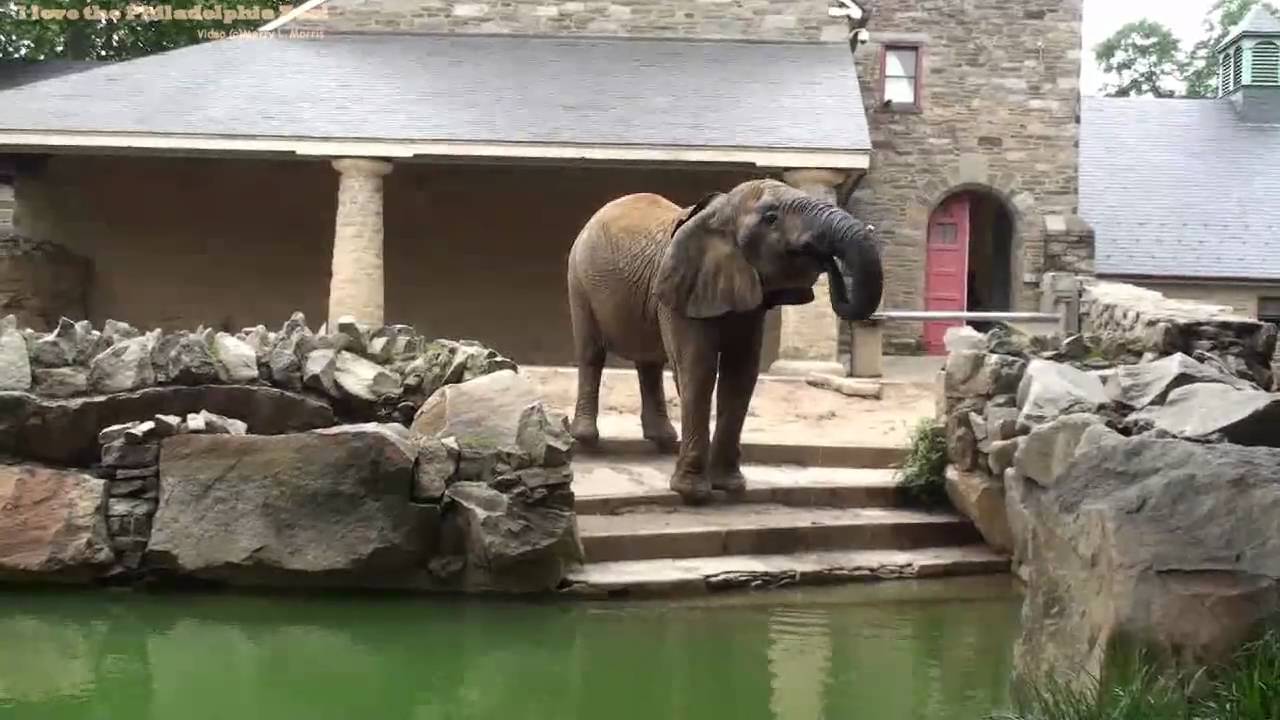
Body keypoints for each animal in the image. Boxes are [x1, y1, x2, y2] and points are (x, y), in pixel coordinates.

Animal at [565, 178, 884, 504]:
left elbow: (741, 374)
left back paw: (663, 440)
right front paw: (694, 493)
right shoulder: (682, 289)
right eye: (771, 218)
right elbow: (699, 369)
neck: (720, 212)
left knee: (649, 362)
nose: (827, 260)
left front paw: (730, 486)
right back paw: (587, 438)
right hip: (577, 278)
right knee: (592, 352)